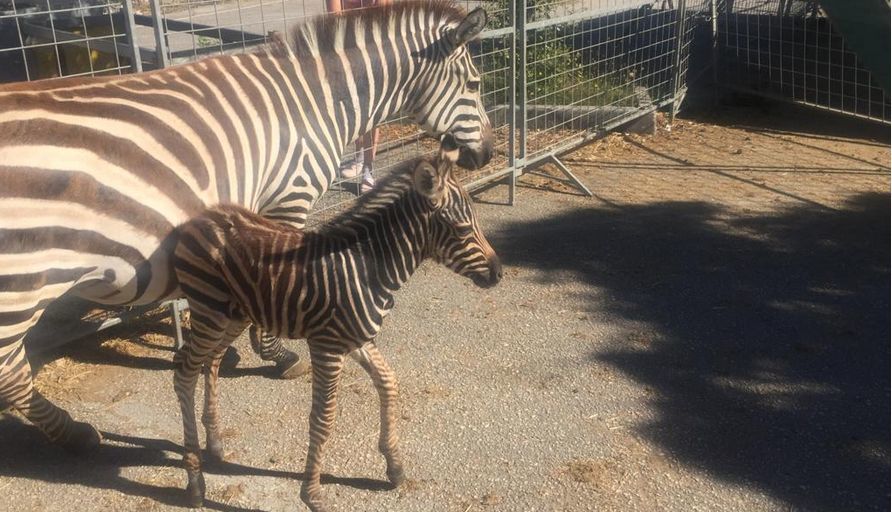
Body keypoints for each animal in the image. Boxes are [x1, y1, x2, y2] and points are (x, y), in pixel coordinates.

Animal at [0, 0, 493, 453]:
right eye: (474, 84)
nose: (486, 155)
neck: (313, 103)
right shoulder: (291, 195)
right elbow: (280, 275)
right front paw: (276, 352)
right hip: (22, 282)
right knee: (11, 373)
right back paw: (74, 432)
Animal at [172, 143, 501, 510]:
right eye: (461, 228)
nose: (498, 273)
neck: (368, 268)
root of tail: (200, 218)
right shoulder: (327, 346)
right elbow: (323, 418)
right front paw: (312, 494)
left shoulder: (358, 338)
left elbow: (389, 384)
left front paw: (394, 466)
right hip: (210, 311)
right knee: (184, 371)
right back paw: (195, 481)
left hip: (234, 314)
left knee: (212, 362)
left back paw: (214, 445)